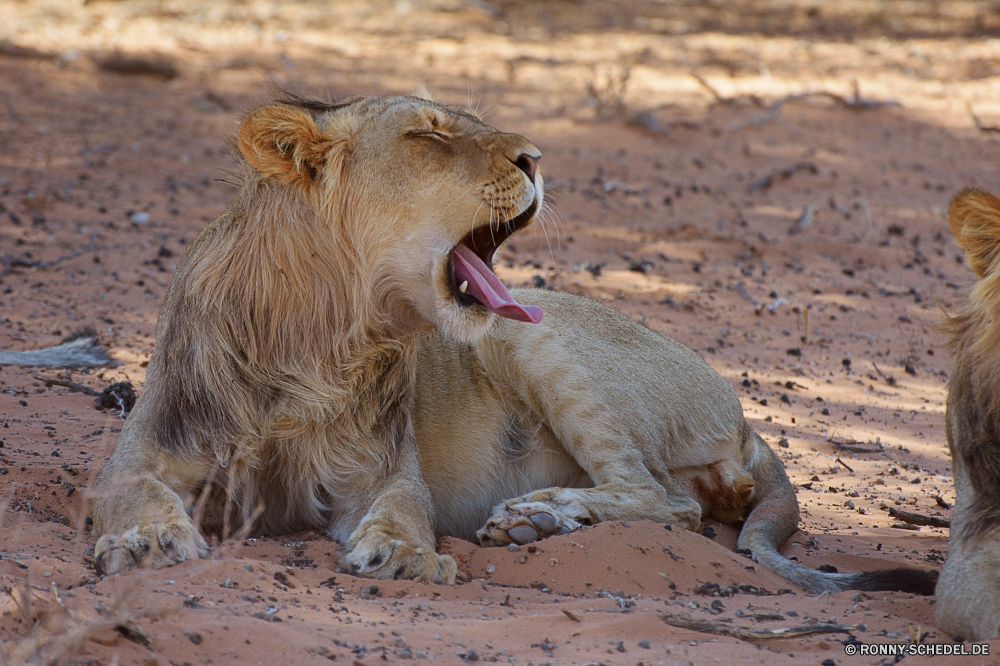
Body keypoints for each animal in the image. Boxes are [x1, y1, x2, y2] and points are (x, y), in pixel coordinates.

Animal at [92, 92, 936, 592]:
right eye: (428, 133)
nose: (536, 157)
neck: (323, 341)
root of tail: (746, 420)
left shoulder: (383, 470)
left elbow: (405, 509)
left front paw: (404, 554)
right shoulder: (148, 446)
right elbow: (131, 490)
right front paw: (147, 542)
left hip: (539, 343)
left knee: (666, 501)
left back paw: (538, 515)